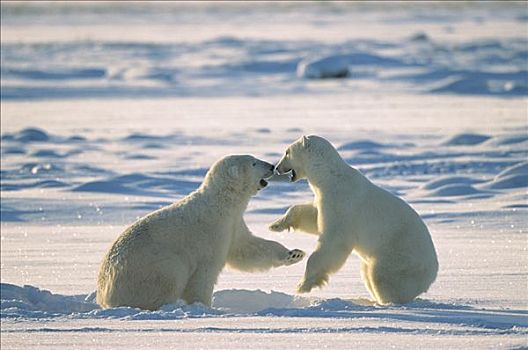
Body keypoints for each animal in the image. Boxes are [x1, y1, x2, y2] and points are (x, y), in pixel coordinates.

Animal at [97, 154, 308, 310]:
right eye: (254, 162)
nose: (272, 166)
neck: (220, 203)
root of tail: (104, 293)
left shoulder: (232, 224)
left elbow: (246, 248)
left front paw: (294, 254)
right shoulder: (211, 232)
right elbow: (205, 273)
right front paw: (204, 306)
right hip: (152, 266)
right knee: (169, 278)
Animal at [268, 135, 438, 304]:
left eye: (287, 152)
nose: (276, 168)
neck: (330, 177)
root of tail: (432, 274)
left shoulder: (342, 205)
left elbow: (333, 242)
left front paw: (302, 286)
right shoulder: (326, 201)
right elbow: (313, 218)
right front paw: (275, 225)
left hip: (398, 257)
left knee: (382, 277)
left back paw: (386, 301)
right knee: (368, 273)